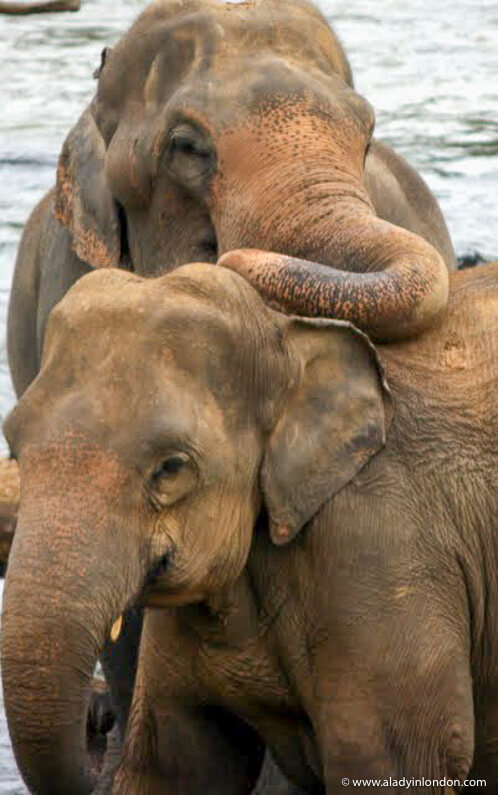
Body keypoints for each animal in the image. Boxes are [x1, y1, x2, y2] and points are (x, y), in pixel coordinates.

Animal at [2, 259, 497, 794]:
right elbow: (178, 763)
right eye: (15, 444)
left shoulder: (383, 549)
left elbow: (389, 763)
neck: (286, 336)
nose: (98, 719)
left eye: (171, 468)